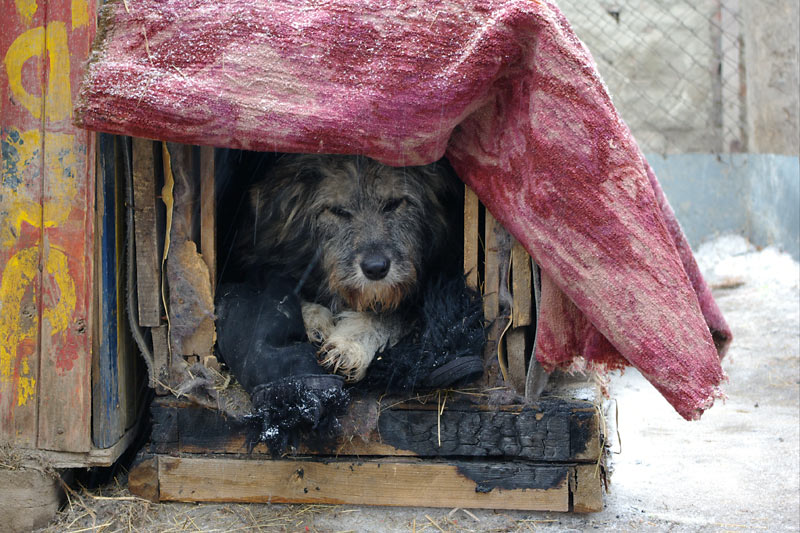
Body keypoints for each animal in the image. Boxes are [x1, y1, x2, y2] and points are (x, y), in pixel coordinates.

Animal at [233, 153, 461, 382]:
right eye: (338, 211)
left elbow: (386, 316)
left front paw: (349, 346)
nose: (375, 268)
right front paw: (315, 321)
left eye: (394, 203)